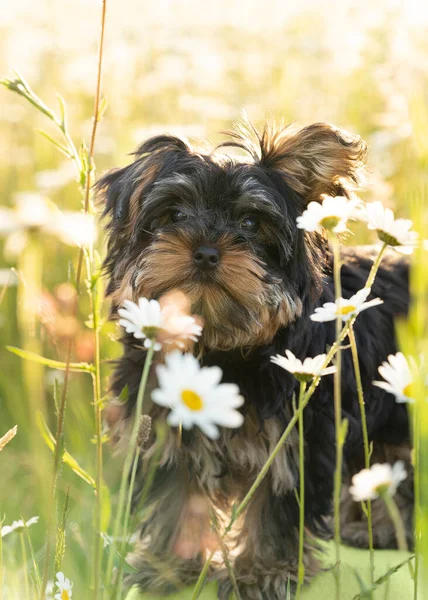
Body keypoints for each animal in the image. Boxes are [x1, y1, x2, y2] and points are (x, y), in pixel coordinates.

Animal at [97, 119, 412, 596]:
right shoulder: (165, 425)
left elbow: (277, 501)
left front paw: (263, 572)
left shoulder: (298, 435)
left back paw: (382, 528)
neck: (221, 348)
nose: (206, 250)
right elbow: (177, 495)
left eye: (250, 221)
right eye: (174, 214)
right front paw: (171, 564)